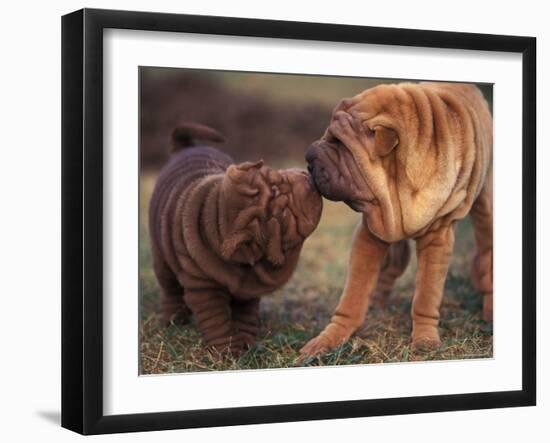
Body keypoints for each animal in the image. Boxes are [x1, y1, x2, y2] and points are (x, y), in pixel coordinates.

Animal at [150, 124, 324, 354]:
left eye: (276, 177)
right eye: (283, 215)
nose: (307, 177)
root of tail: (184, 148)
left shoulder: (249, 290)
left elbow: (245, 315)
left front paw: (247, 342)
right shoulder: (204, 289)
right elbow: (217, 321)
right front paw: (227, 352)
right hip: (161, 258)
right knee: (169, 288)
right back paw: (175, 321)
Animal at [304, 81, 494, 356]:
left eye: (339, 143)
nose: (308, 157)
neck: (396, 188)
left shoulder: (437, 239)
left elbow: (426, 295)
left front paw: (425, 341)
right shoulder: (371, 232)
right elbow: (354, 293)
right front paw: (328, 339)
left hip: (486, 207)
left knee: (487, 253)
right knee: (390, 266)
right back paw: (377, 302)